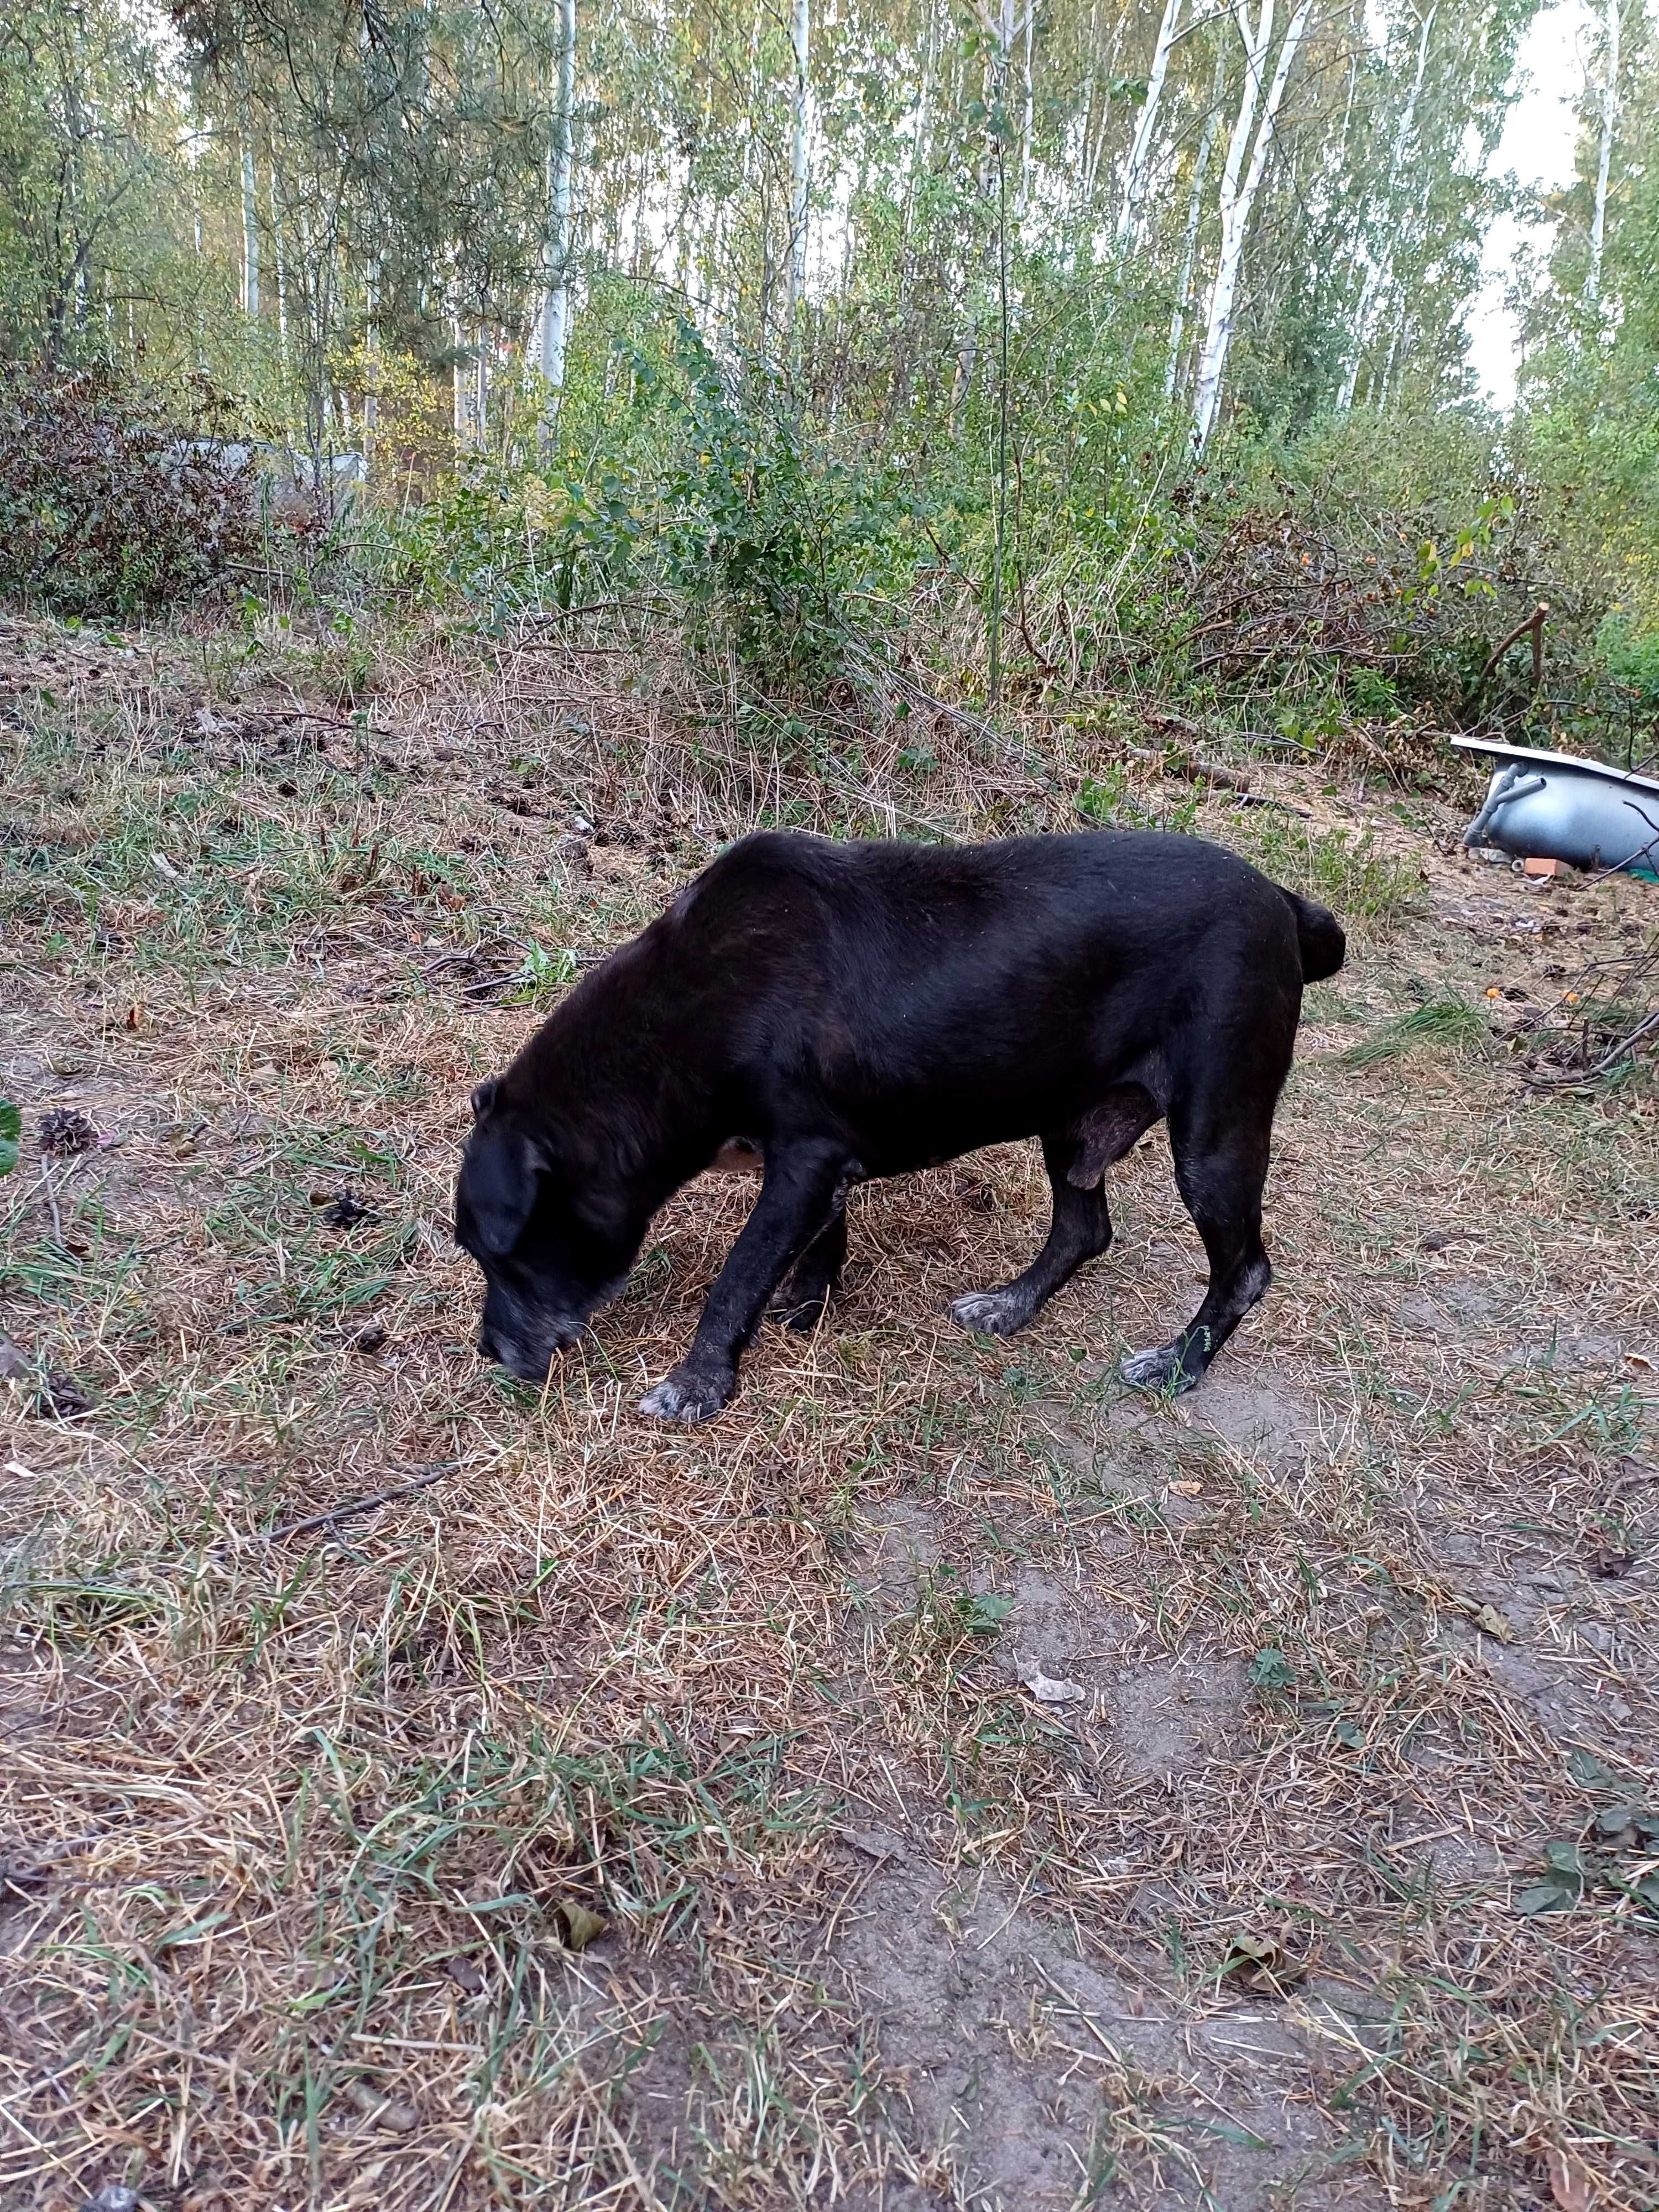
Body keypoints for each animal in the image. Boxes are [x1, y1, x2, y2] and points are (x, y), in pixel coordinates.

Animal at [458, 827, 1354, 1416]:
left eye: (504, 1256)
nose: (487, 1350)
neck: (685, 1019)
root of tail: (1283, 901)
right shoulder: (819, 1172)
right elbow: (817, 1247)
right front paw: (805, 1307)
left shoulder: (803, 1159)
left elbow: (734, 1280)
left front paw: (696, 1384)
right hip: (1070, 1121)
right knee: (1084, 1229)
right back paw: (1011, 1307)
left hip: (1214, 1132)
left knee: (1243, 1269)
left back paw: (1178, 1366)